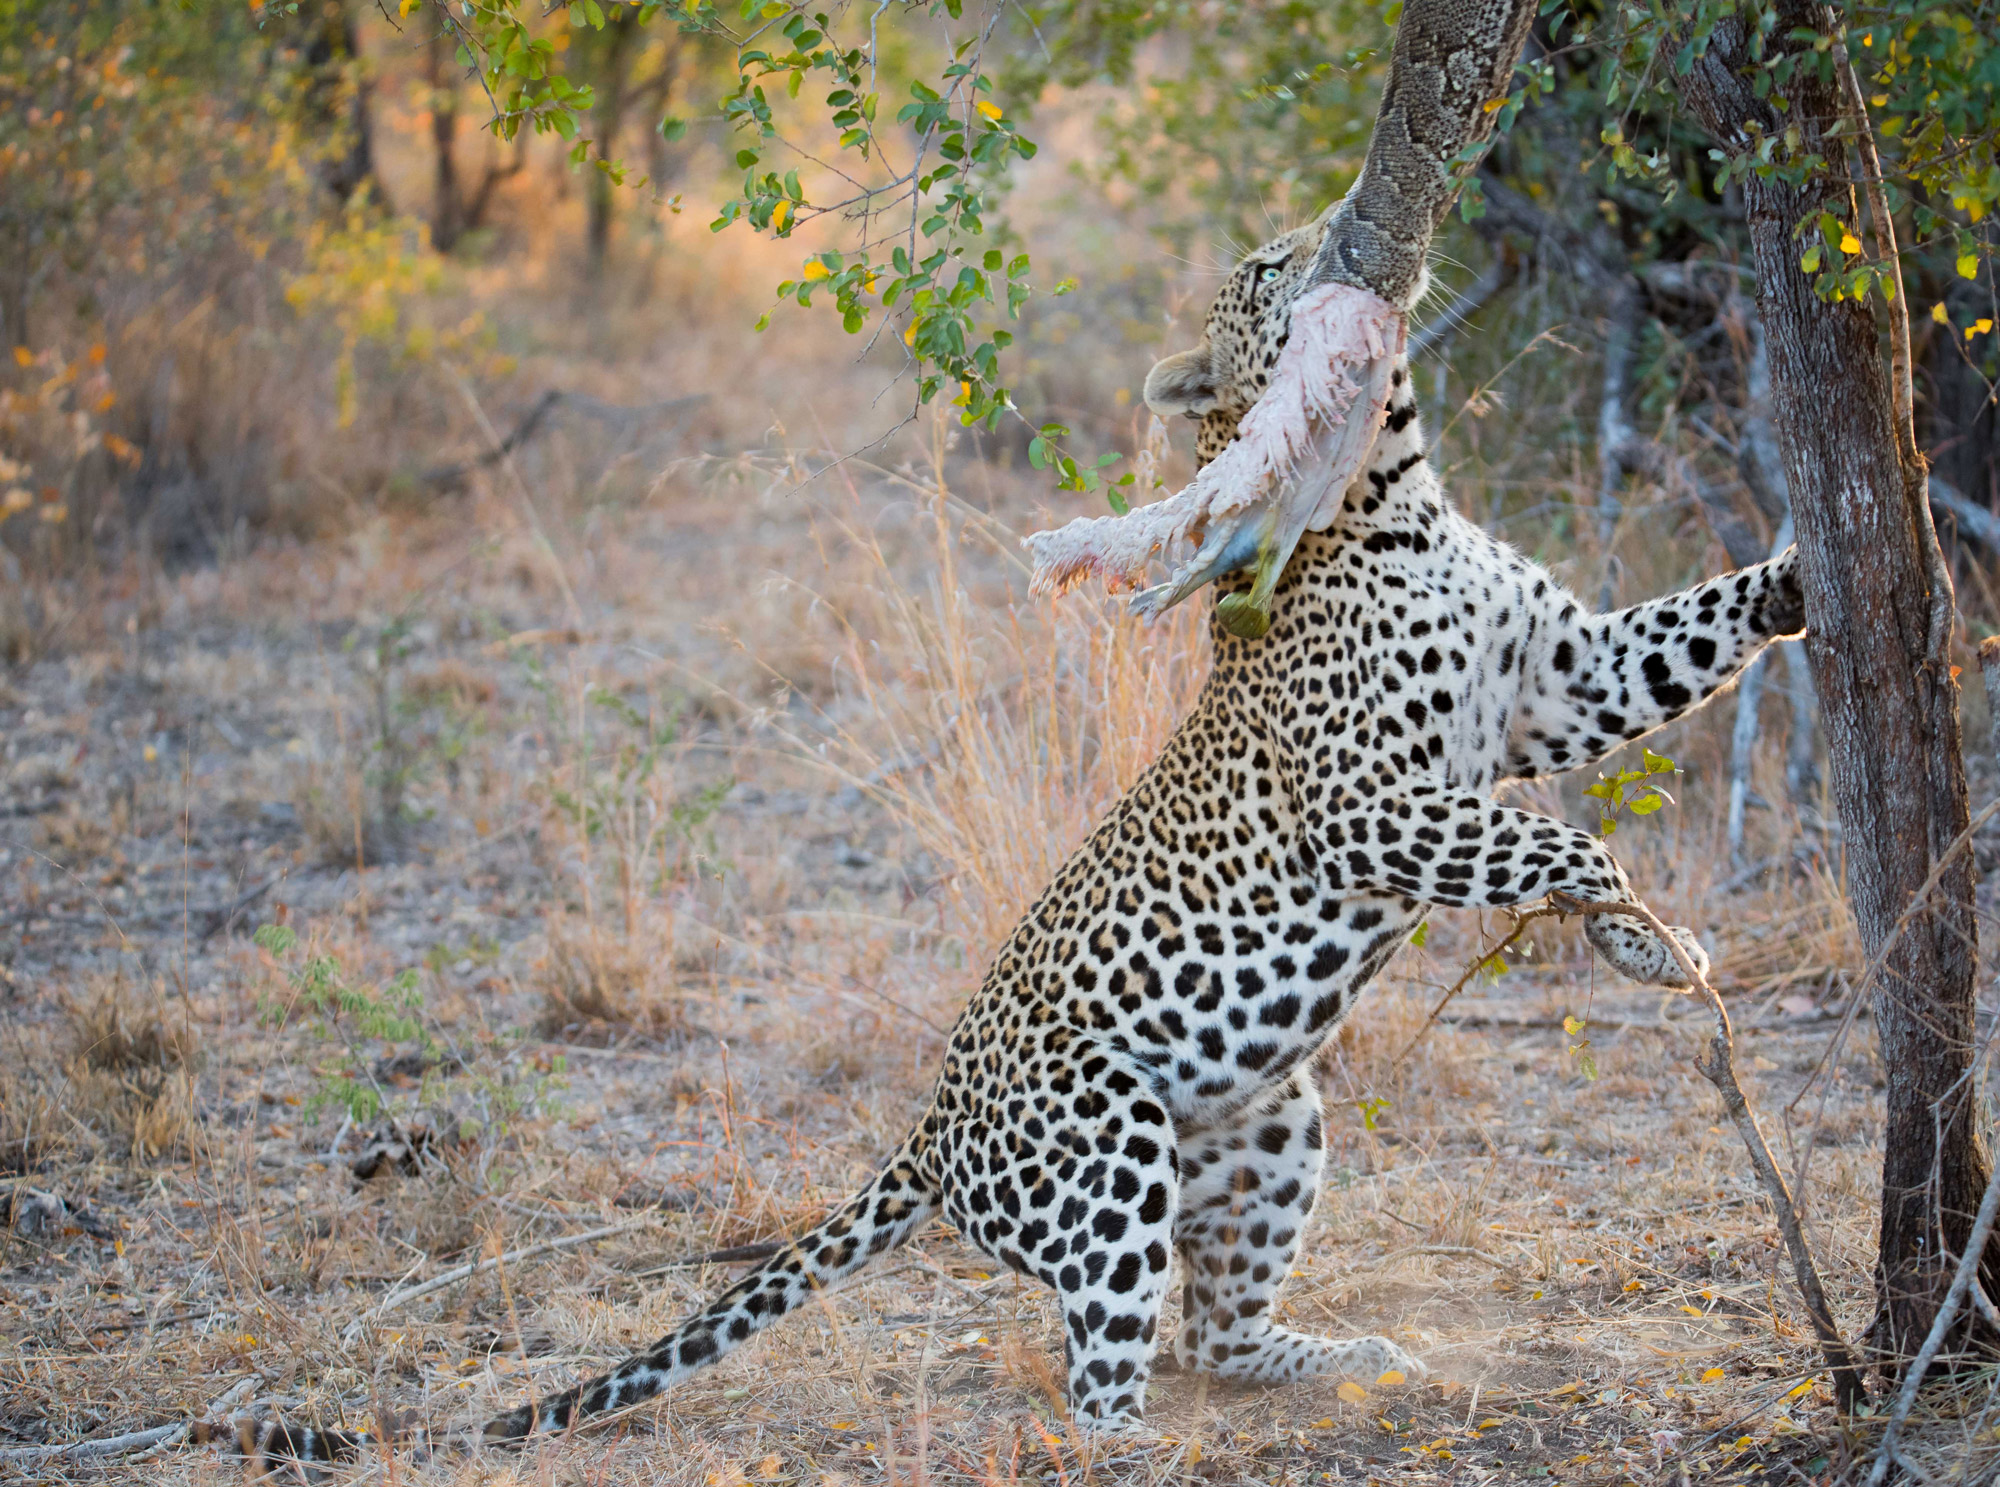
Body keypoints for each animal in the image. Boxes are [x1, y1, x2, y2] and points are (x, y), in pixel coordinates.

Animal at [227, 217, 1808, 1463]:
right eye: (1264, 269)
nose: (1343, 239)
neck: (1400, 497)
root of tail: (931, 1129)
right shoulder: (1368, 804)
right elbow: (1558, 846)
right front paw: (1646, 943)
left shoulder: (1567, 679)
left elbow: (1686, 636)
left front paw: (1801, 572)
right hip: (1107, 1151)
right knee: (1100, 1387)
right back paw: (1168, 1448)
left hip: (1270, 1119)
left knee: (1210, 1333)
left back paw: (1336, 1358)